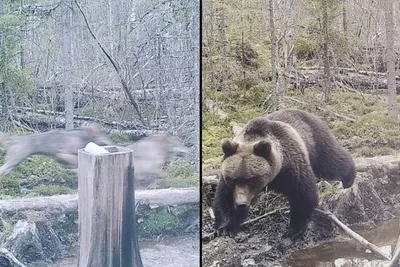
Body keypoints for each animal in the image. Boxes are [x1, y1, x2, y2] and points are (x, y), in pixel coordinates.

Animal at [212, 108, 356, 241]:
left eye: (251, 179)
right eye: (233, 179)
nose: (241, 203)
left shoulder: (291, 167)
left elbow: (302, 195)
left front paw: (294, 230)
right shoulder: (226, 180)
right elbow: (223, 200)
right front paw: (225, 228)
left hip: (316, 141)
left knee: (331, 161)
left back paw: (349, 177)